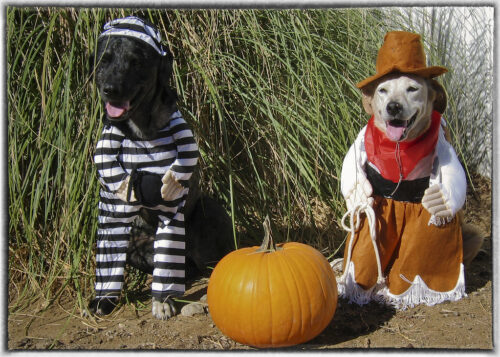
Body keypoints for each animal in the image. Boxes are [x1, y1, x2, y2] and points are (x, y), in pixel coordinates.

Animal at [89, 16, 233, 318]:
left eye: (137, 62)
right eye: (104, 60)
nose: (111, 90)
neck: (139, 133)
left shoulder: (171, 205)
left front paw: (163, 301)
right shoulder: (110, 210)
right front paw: (104, 299)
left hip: (208, 214)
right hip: (135, 242)